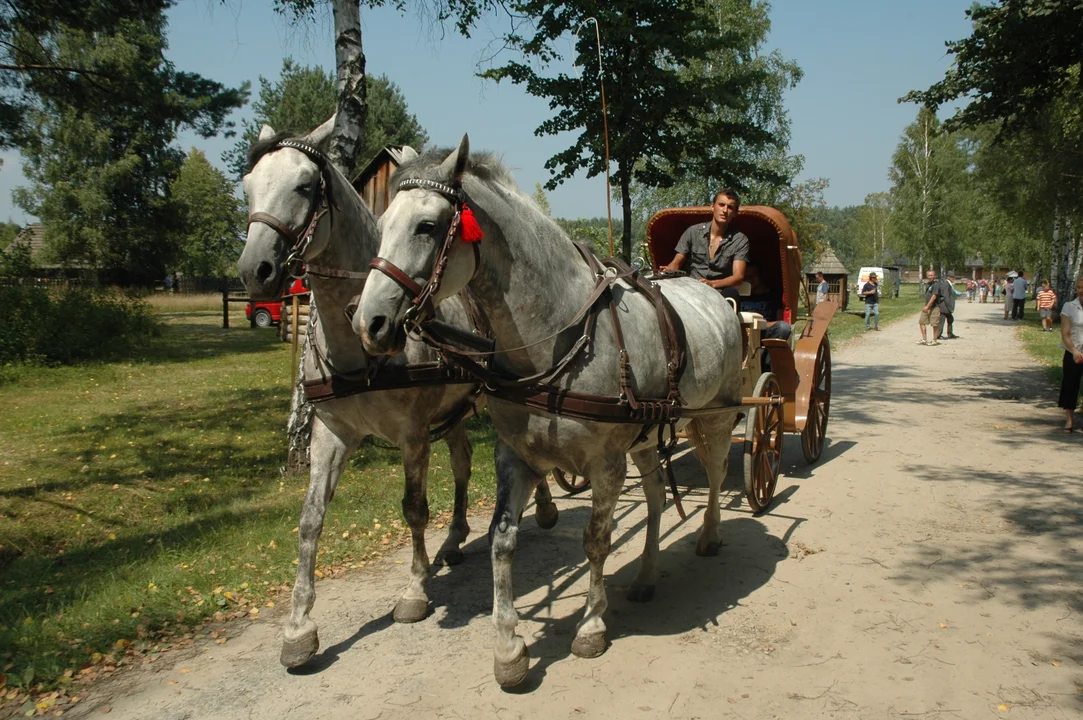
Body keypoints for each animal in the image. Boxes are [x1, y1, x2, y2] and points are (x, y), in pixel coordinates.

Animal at [237, 116, 558, 666]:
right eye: (248, 187)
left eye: (304, 186)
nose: (254, 270)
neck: (359, 350)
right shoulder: (330, 434)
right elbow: (310, 520)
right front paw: (298, 627)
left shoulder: (411, 435)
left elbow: (413, 508)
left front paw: (414, 590)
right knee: (462, 461)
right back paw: (453, 541)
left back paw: (544, 508)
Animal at [355, 138, 745, 684]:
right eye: (384, 220)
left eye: (427, 226)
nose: (369, 322)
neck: (561, 332)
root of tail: (715, 296)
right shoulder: (514, 456)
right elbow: (501, 541)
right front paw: (509, 648)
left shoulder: (606, 465)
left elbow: (597, 540)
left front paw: (591, 626)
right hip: (647, 439)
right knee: (655, 499)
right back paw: (647, 575)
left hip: (716, 416)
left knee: (715, 472)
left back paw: (709, 535)